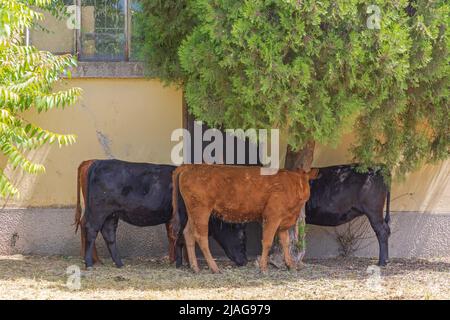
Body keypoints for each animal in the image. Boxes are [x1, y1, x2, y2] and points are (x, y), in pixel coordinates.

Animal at [76, 159, 248, 268]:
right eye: (241, 238)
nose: (245, 260)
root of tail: (98, 162)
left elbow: (178, 238)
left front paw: (180, 262)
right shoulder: (183, 218)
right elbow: (182, 238)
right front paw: (182, 263)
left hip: (112, 214)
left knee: (109, 234)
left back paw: (119, 264)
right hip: (98, 211)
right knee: (91, 230)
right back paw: (89, 263)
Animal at [171, 165, 316, 272]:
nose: (305, 196)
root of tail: (189, 166)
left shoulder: (283, 221)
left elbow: (285, 242)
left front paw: (290, 265)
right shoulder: (272, 216)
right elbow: (267, 241)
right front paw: (263, 267)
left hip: (193, 213)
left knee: (188, 233)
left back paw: (195, 268)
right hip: (202, 211)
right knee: (201, 237)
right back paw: (214, 268)